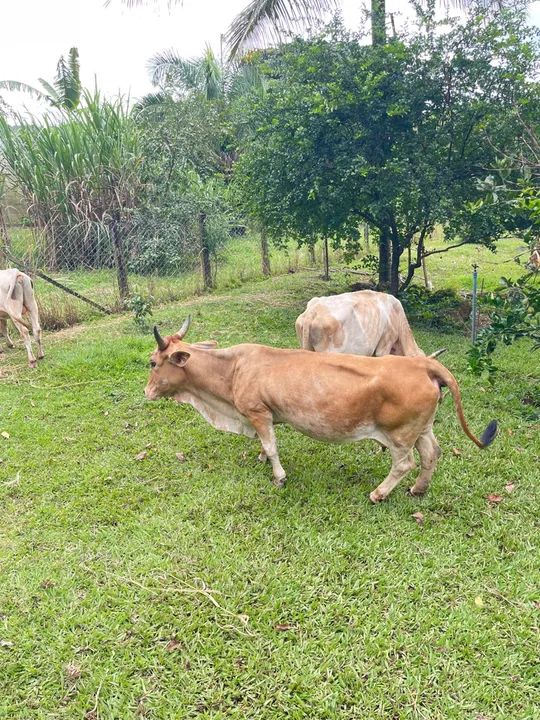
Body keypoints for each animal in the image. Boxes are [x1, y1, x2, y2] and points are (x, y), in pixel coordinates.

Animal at [144, 318, 497, 503]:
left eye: (152, 363)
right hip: (420, 428)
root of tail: (424, 365)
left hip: (399, 435)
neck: (232, 368)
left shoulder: (259, 412)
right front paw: (260, 458)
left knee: (405, 463)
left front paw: (278, 476)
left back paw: (378, 493)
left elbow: (272, 447)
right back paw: (419, 489)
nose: (146, 392)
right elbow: (264, 445)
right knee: (431, 454)